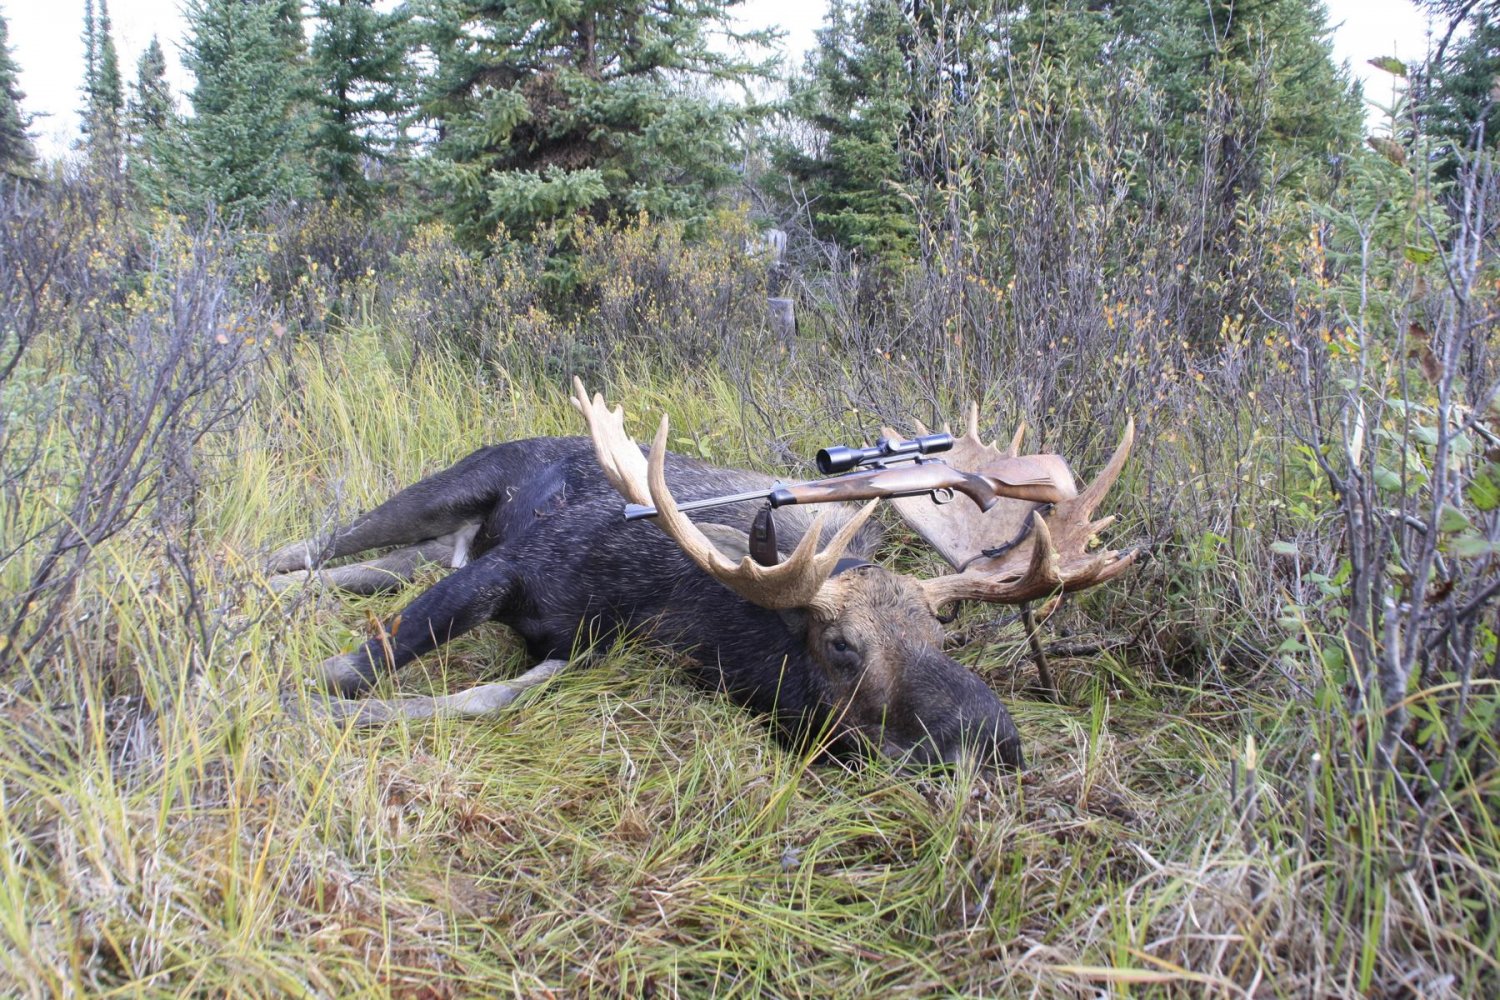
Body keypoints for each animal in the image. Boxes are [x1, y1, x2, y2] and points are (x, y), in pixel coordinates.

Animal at [268, 380, 1136, 769]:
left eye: (939, 633)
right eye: (840, 646)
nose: (999, 741)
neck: (677, 610)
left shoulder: (582, 646)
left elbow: (489, 694)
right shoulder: (511, 568)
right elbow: (364, 664)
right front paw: (296, 696)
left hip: (430, 544)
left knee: (355, 571)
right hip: (448, 487)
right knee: (308, 547)